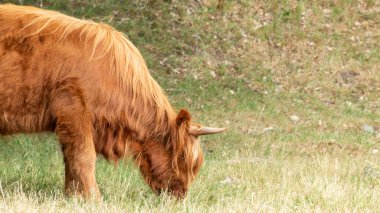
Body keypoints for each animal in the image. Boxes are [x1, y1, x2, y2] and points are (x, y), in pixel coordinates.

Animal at [0, 4, 224, 199]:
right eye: (185, 158)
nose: (181, 194)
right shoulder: (74, 110)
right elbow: (83, 157)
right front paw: (93, 198)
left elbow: (70, 159)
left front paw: (73, 195)